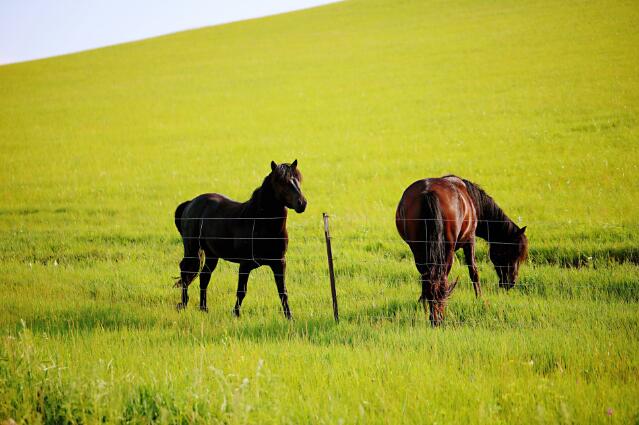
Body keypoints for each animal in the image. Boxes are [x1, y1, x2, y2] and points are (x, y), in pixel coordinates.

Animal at [174, 160, 306, 318]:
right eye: (281, 182)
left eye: (298, 179)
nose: (302, 203)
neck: (259, 223)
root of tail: (190, 203)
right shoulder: (245, 264)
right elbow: (241, 291)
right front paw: (236, 314)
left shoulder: (279, 263)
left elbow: (283, 292)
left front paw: (289, 317)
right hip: (192, 250)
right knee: (185, 272)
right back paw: (184, 304)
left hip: (212, 255)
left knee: (204, 276)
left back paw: (204, 308)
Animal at [398, 175, 528, 324]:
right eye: (511, 253)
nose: (511, 282)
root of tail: (428, 192)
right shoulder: (470, 240)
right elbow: (474, 272)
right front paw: (481, 300)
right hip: (447, 251)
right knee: (441, 280)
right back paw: (438, 316)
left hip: (419, 250)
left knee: (429, 279)